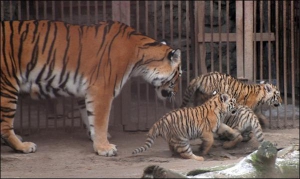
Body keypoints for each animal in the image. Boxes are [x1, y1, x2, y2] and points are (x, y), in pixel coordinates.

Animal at [0, 19, 182, 157]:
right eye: (178, 74)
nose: (176, 93)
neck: (140, 59)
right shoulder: (102, 90)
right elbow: (101, 120)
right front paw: (104, 148)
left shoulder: (85, 91)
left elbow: (89, 117)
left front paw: (95, 138)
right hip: (7, 86)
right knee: (4, 127)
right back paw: (23, 146)